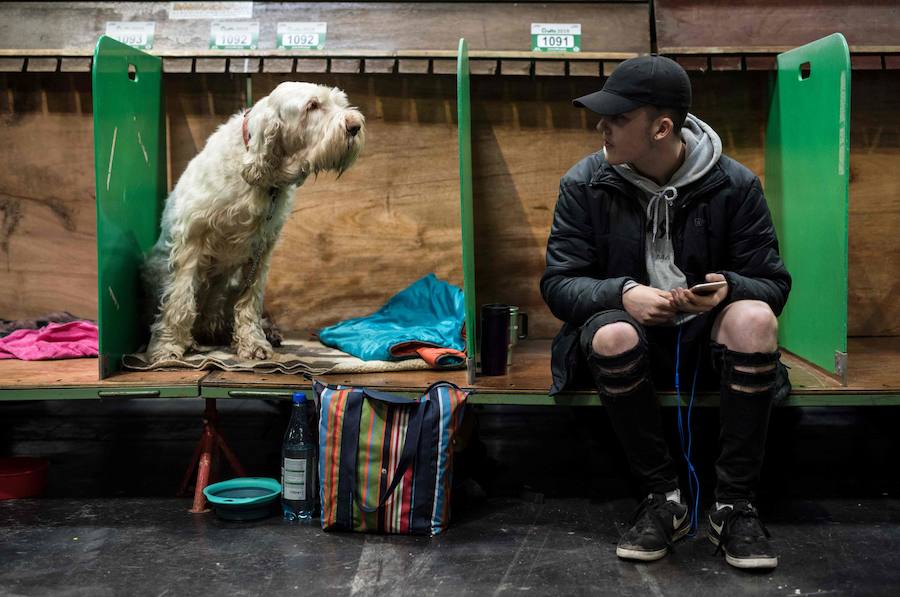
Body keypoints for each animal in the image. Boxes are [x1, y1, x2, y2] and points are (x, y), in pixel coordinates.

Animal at [142, 81, 364, 360]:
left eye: (340, 102)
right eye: (312, 106)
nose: (355, 125)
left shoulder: (261, 249)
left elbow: (250, 299)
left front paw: (253, 342)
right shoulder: (192, 240)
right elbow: (180, 298)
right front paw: (168, 345)